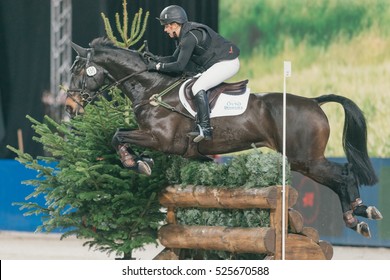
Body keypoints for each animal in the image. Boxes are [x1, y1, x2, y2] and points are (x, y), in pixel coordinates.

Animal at [65, 37, 382, 238]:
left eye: (79, 72)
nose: (69, 109)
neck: (152, 89)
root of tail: (314, 101)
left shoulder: (159, 139)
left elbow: (117, 136)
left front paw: (137, 163)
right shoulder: (182, 150)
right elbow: (119, 136)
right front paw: (140, 161)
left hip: (305, 159)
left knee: (343, 174)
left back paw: (357, 215)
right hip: (307, 159)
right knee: (343, 174)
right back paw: (360, 214)